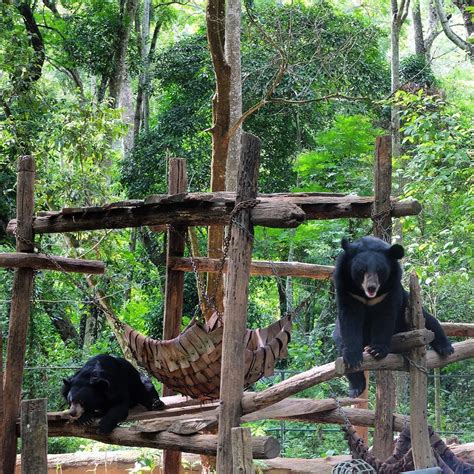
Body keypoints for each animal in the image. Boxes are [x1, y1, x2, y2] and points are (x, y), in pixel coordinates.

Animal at [332, 236, 454, 396]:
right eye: (362, 270)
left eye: (380, 271)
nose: (371, 287)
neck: (367, 296)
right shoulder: (347, 287)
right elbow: (349, 318)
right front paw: (353, 357)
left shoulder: (389, 289)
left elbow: (385, 315)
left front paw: (376, 350)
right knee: (341, 345)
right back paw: (357, 387)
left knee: (431, 323)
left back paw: (446, 348)